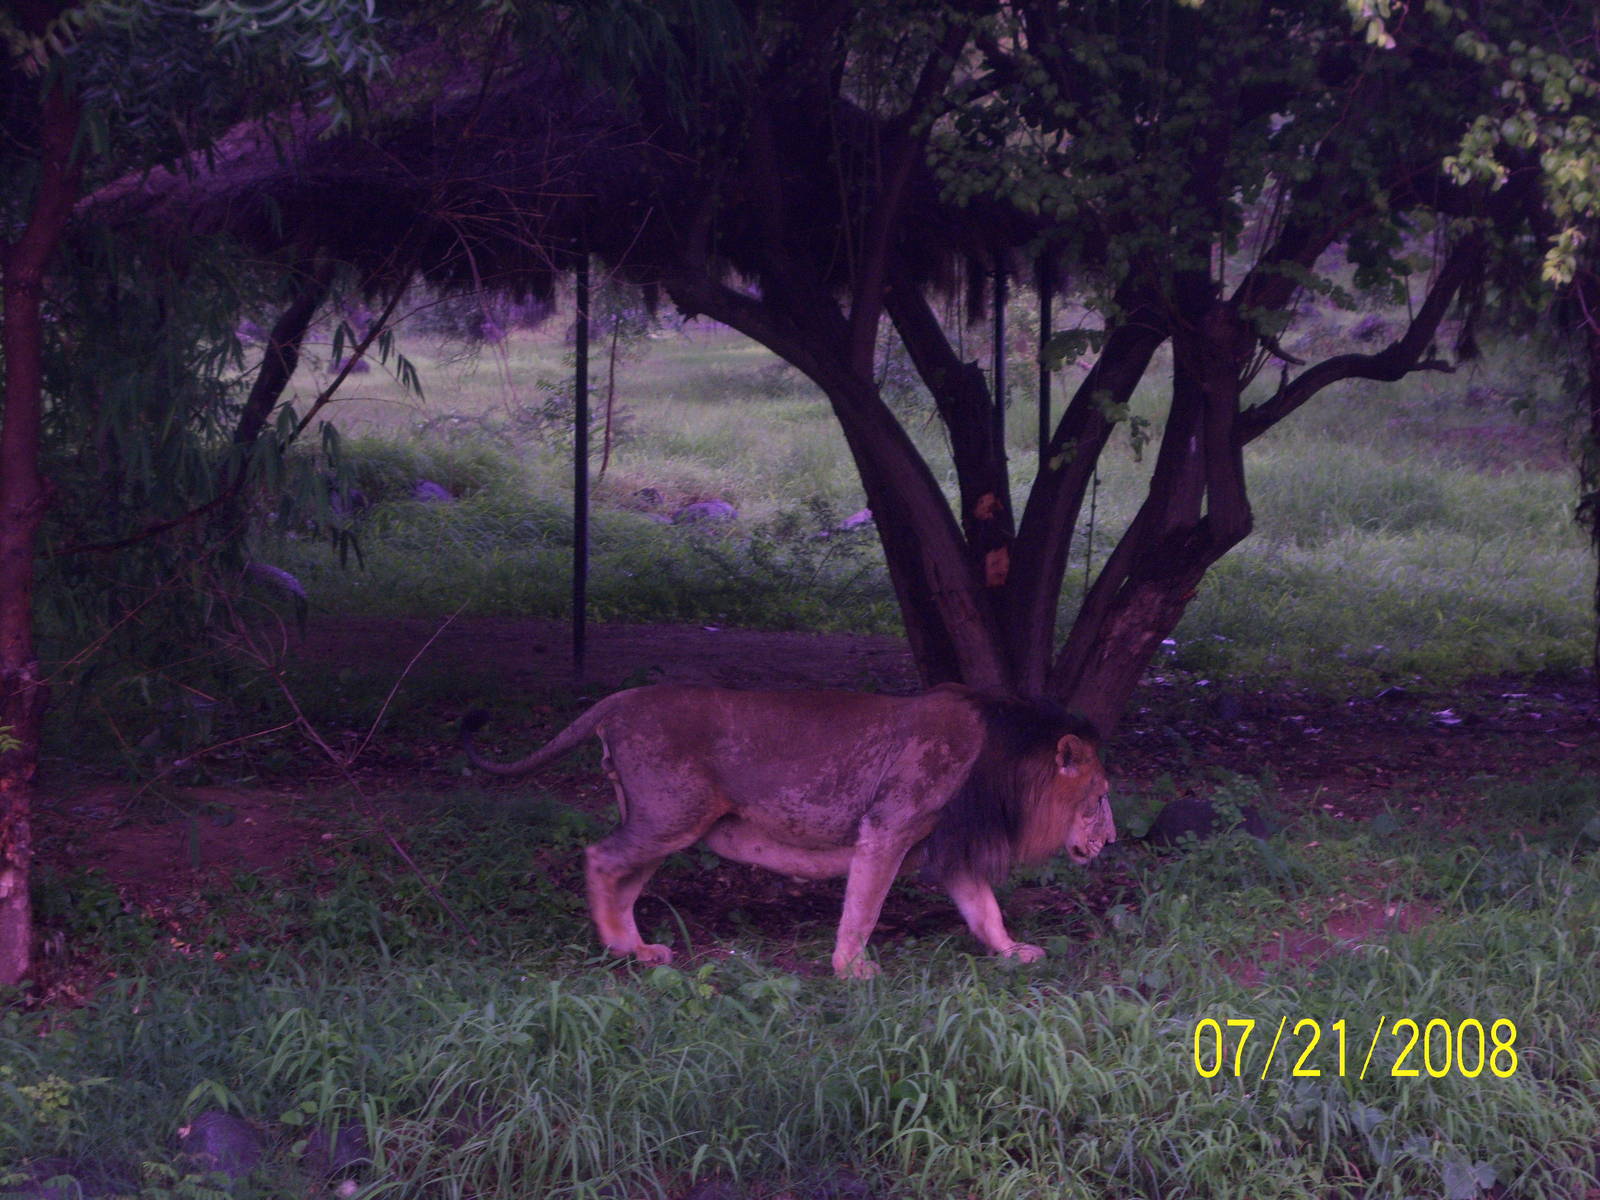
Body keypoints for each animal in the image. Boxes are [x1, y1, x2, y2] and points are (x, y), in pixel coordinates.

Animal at [460, 683, 1114, 978]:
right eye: (1102, 796)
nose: (1110, 842)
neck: (1002, 766)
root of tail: (620, 699)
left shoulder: (946, 849)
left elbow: (985, 909)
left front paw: (1012, 952)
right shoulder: (887, 827)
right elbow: (863, 907)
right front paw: (852, 970)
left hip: (666, 822)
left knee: (624, 880)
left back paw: (639, 950)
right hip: (668, 817)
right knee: (599, 857)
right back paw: (617, 949)